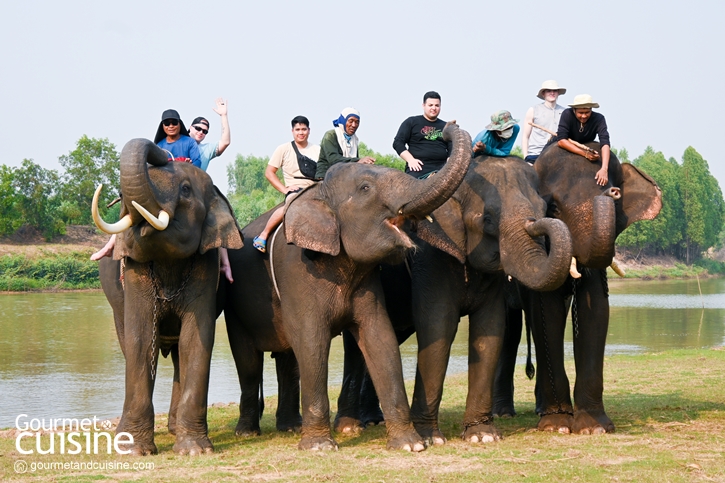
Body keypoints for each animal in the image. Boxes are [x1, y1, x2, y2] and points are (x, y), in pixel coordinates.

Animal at [93, 138, 243, 456]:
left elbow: (196, 340)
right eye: (120, 195)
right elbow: (139, 339)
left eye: (185, 189)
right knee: (129, 344)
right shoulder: (133, 272)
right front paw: (133, 449)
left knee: (178, 355)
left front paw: (195, 450)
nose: (164, 150)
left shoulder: (206, 265)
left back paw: (175, 429)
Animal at [223, 122, 472, 454]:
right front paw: (319, 448)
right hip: (233, 305)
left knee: (287, 360)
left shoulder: (369, 282)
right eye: (365, 188)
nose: (447, 128)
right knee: (249, 362)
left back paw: (290, 428)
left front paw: (410, 445)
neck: (318, 193)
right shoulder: (297, 271)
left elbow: (380, 337)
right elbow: (311, 340)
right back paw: (248, 433)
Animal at [330, 155, 576, 446]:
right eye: (488, 219)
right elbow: (439, 326)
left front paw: (482, 436)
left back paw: (373, 420)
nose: (537, 221)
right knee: (355, 348)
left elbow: (490, 330)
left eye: (543, 207)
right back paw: (350, 427)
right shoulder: (430, 260)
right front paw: (430, 439)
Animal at [492, 143, 660, 434]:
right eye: (553, 208)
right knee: (510, 330)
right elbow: (547, 313)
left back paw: (538, 409)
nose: (611, 192)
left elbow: (596, 311)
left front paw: (594, 428)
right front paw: (556, 426)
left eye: (618, 203)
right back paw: (503, 413)